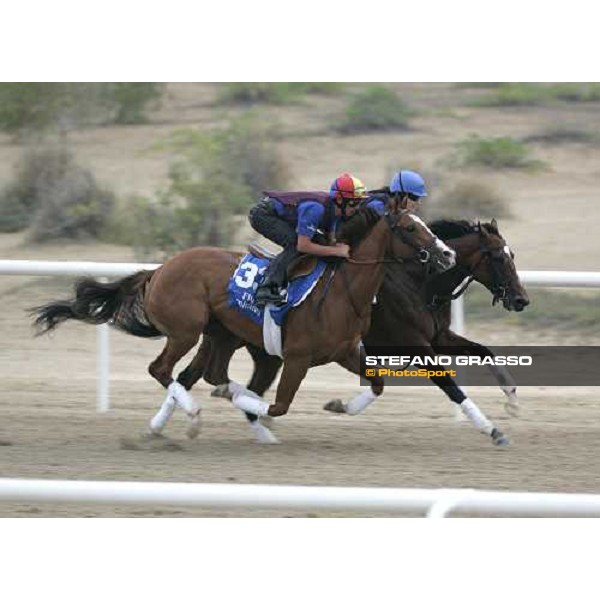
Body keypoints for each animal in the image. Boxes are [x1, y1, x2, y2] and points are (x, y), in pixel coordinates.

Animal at [30, 207, 454, 440]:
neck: (343, 289)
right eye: (411, 227)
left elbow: (378, 385)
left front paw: (338, 405)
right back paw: (195, 413)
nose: (447, 254)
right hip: (186, 329)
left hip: (220, 333)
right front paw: (257, 412)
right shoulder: (297, 358)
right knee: (162, 370)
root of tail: (161, 268)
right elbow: (279, 405)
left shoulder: (345, 352)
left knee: (205, 373)